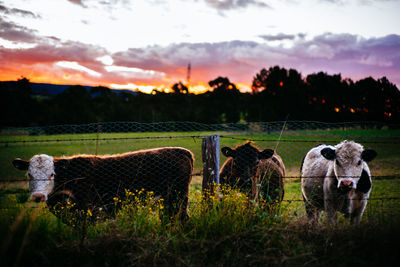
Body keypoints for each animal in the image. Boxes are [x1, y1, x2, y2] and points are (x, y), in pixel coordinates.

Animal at [12, 148, 194, 223]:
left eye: (52, 174)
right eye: (29, 175)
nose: (38, 196)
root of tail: (182, 151)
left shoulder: (87, 213)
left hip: (177, 200)